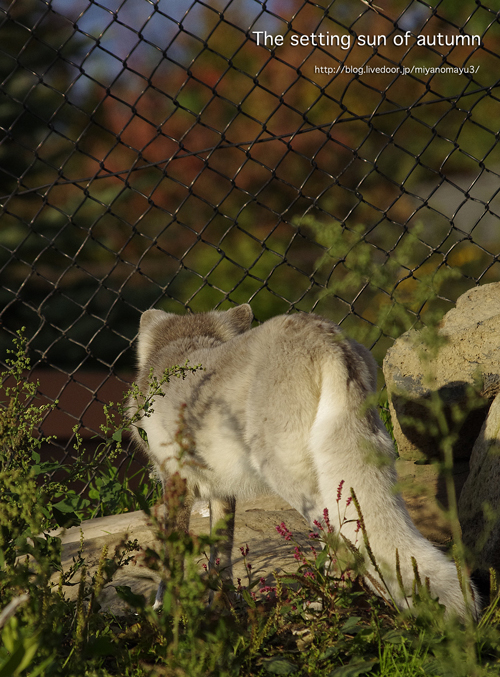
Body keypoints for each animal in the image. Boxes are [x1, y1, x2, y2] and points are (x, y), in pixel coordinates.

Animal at [129, 306, 476, 616]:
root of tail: (323, 335)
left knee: (342, 539)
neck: (183, 346)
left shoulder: (176, 481)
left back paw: (333, 602)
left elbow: (172, 558)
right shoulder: (221, 491)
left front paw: (168, 611)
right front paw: (220, 609)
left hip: (289, 478)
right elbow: (221, 557)